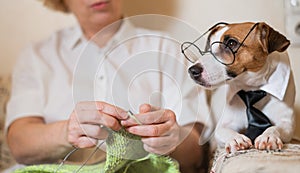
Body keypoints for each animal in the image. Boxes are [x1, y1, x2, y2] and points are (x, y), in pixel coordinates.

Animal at [185, 21, 296, 153]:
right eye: (209, 48)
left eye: (231, 43)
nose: (192, 71)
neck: (252, 88)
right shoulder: (223, 125)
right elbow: (223, 130)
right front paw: (236, 138)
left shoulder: (287, 124)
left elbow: (276, 127)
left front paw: (269, 136)